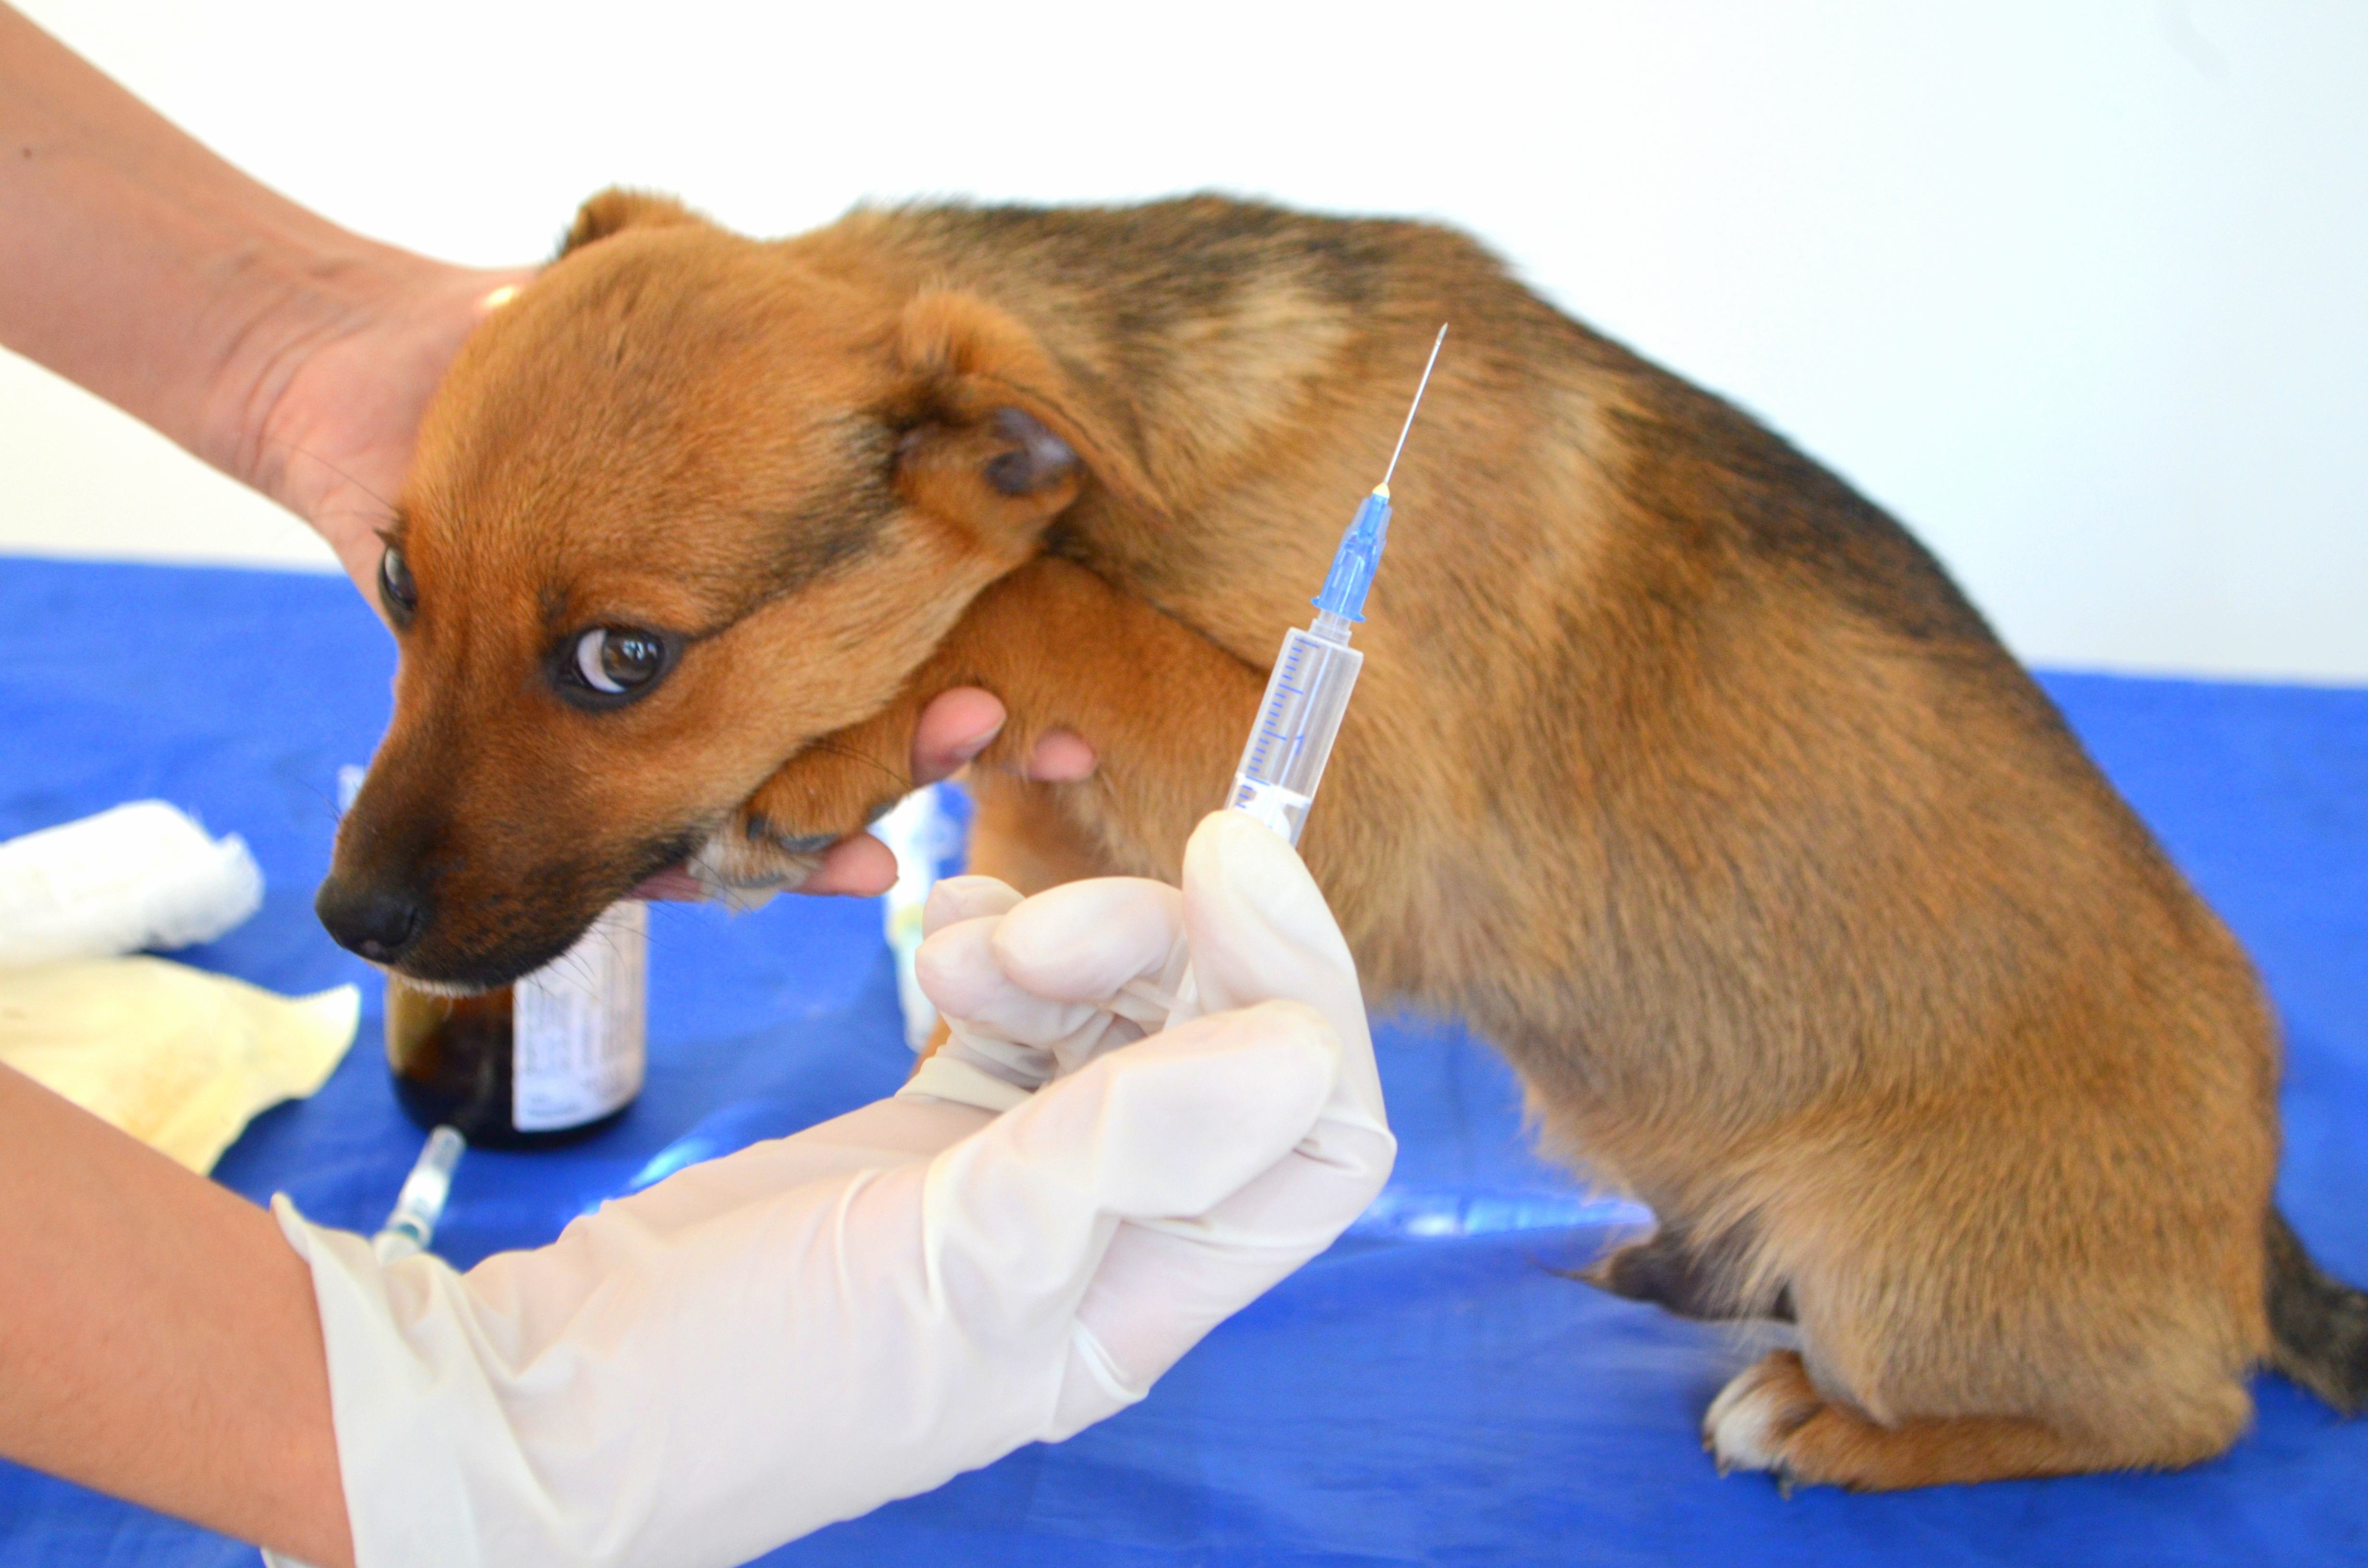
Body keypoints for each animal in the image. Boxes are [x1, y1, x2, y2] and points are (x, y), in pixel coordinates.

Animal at [320, 190, 2368, 1497]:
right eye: (400, 582)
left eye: (622, 659)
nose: (353, 919)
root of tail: (2248, 1225)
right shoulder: (1065, 815)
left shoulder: (1366, 799)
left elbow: (1039, 598)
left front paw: (837, 747)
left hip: (1904, 1268)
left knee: (2184, 1415)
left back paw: (1824, 1421)